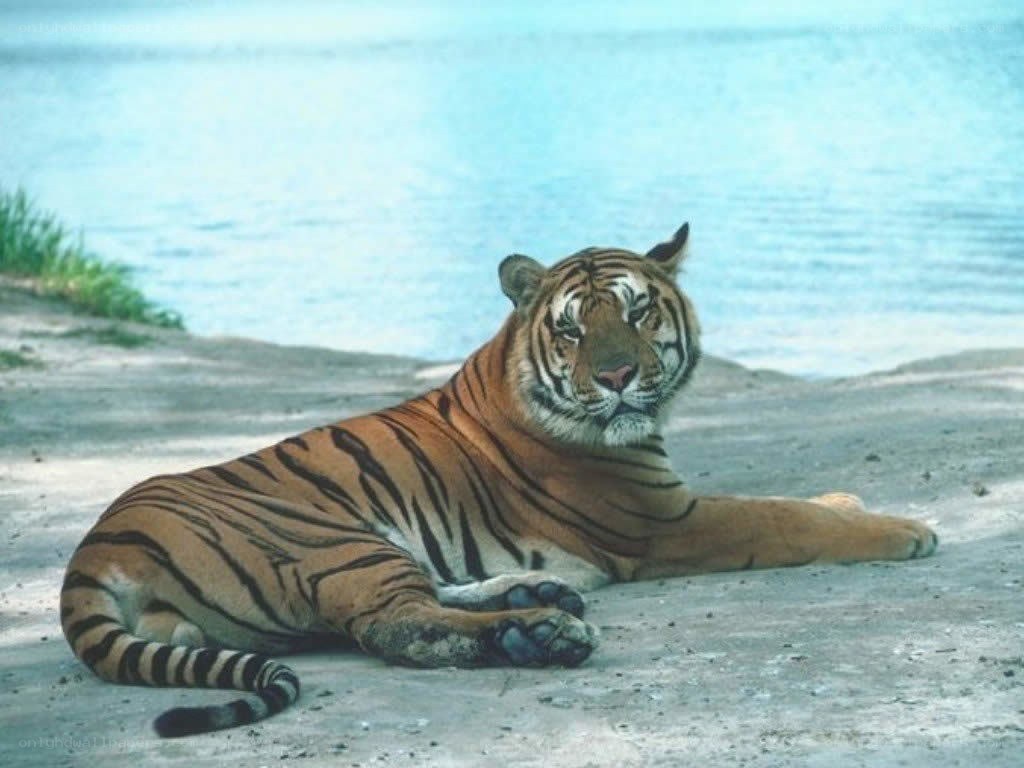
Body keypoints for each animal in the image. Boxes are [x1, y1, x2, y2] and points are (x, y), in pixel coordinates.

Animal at [60, 223, 938, 738]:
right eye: (574, 329)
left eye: (638, 313)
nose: (617, 377)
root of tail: (95, 548)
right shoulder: (667, 522)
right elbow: (788, 515)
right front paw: (907, 529)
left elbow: (805, 500)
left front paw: (857, 499)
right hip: (331, 537)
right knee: (397, 626)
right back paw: (543, 632)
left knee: (400, 606)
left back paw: (536, 597)